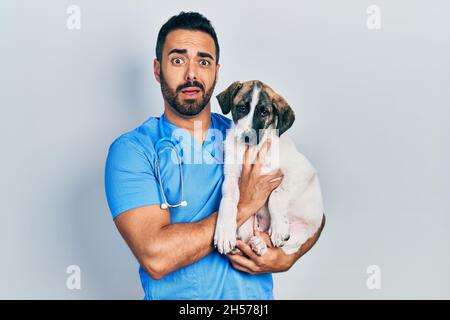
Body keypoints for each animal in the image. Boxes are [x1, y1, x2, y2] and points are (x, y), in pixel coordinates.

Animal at [214, 81, 324, 256]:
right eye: (242, 108)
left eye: (264, 112)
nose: (247, 137)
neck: (253, 151)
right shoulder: (231, 177)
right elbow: (228, 200)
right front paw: (224, 233)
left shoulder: (301, 170)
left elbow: (276, 195)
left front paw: (279, 227)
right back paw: (255, 243)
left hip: (301, 233)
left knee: (287, 246)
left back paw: (262, 242)